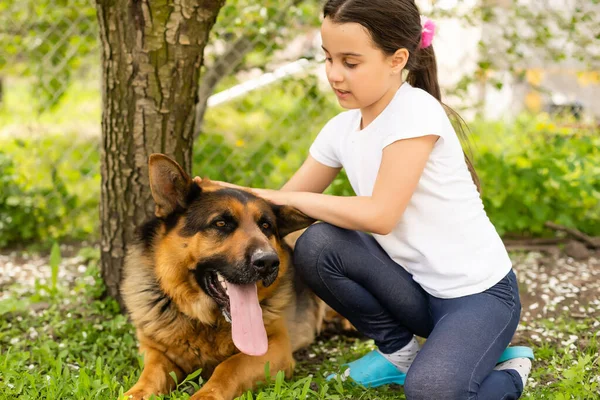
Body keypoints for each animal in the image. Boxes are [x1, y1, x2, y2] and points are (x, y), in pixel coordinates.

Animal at [122, 154, 326, 400]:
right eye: (221, 223)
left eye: (266, 226)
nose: (268, 262)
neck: (204, 321)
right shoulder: (156, 351)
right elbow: (150, 375)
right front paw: (134, 393)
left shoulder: (275, 347)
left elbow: (228, 367)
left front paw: (204, 395)